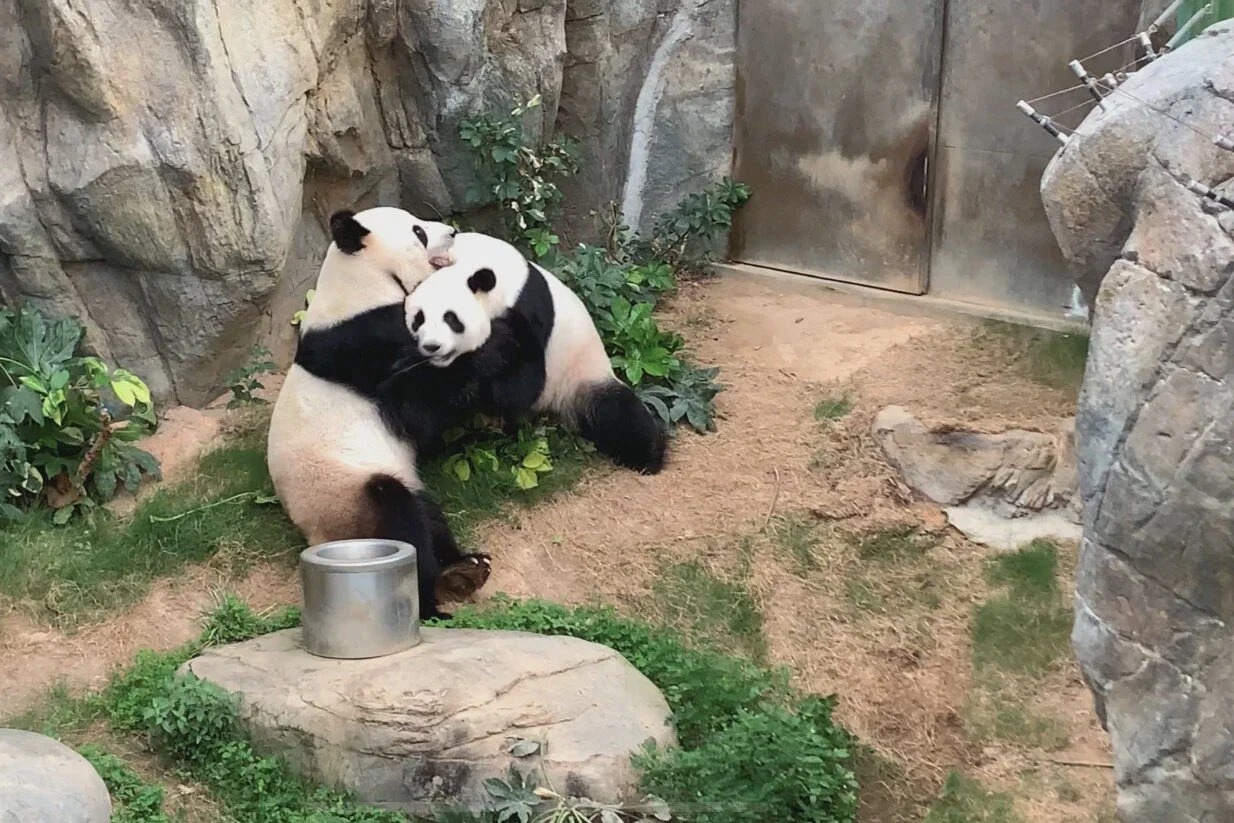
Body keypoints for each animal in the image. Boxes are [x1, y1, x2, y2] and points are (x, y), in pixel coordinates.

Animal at [266, 207, 491, 620]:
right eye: (418, 232)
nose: (452, 232)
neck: (363, 282)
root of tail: (315, 536)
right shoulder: (364, 343)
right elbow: (417, 407)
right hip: (346, 497)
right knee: (399, 516)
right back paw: (432, 597)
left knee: (428, 513)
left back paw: (464, 567)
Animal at [402, 232, 667, 474]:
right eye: (418, 319)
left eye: (451, 319)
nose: (432, 347)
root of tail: (553, 410)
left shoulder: (528, 310)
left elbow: (521, 385)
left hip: (580, 376)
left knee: (617, 413)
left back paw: (647, 458)